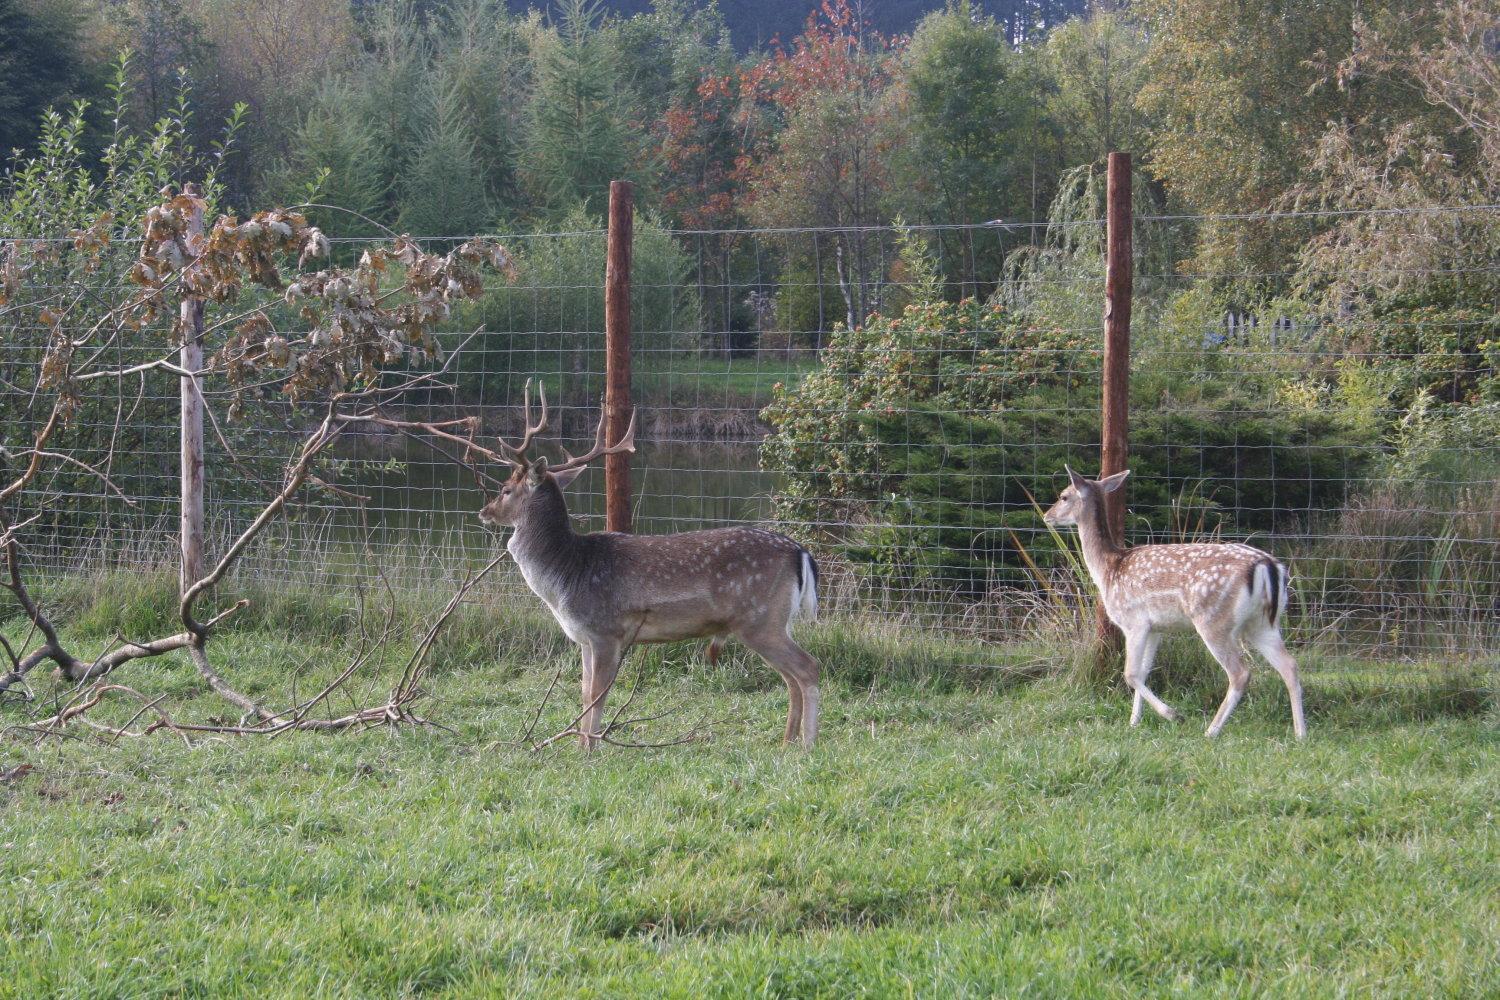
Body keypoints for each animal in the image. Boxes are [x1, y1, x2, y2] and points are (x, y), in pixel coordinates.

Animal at [477, 383, 822, 749]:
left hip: (759, 619)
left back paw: (808, 744)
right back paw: (788, 741)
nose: (484, 511)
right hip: (775, 621)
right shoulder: (584, 638)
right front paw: (580, 744)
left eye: (505, 489)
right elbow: (584, 694)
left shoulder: (605, 630)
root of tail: (800, 552)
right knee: (791, 677)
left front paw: (589, 749)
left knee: (807, 668)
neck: (567, 575)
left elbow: (597, 696)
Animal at [1050, 464, 1308, 740]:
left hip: (1214, 619)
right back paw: (1300, 733)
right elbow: (1144, 672)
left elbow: (1130, 673)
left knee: (1240, 673)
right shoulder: (1156, 628)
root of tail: (1267, 566)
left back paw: (1211, 731)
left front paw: (1172, 714)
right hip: (1262, 624)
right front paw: (1134, 721)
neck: (1108, 570)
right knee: (1290, 666)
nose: (1047, 515)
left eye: (1064, 496)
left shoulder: (1134, 622)